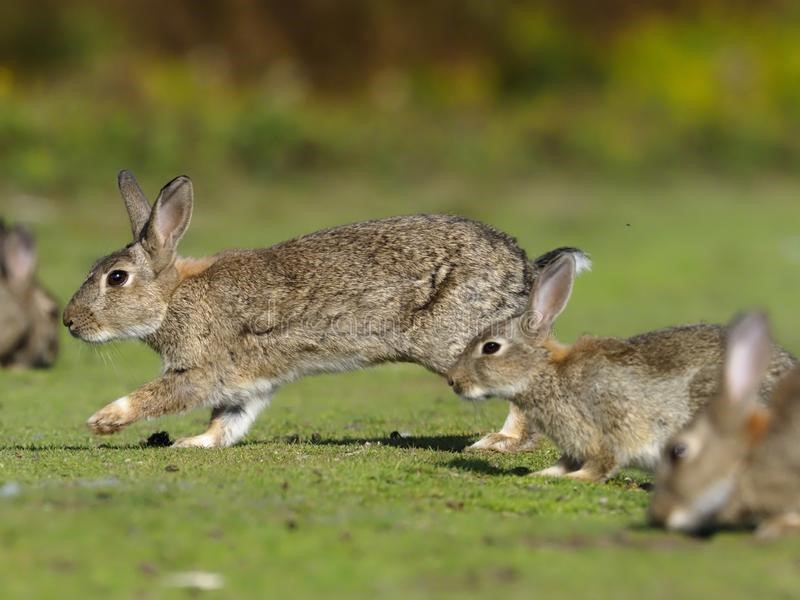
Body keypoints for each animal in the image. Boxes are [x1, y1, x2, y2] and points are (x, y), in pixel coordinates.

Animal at [62, 170, 589, 448]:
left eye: (116, 278)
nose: (70, 323)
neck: (172, 298)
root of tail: (524, 269)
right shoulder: (245, 382)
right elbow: (227, 421)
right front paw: (196, 444)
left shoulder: (201, 369)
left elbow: (162, 394)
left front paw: (102, 421)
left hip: (460, 342)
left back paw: (498, 443)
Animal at [446, 254, 796, 482]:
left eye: (491, 347)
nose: (453, 381)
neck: (546, 374)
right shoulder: (574, 443)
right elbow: (564, 462)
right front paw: (542, 473)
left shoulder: (606, 429)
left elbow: (600, 464)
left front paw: (571, 479)